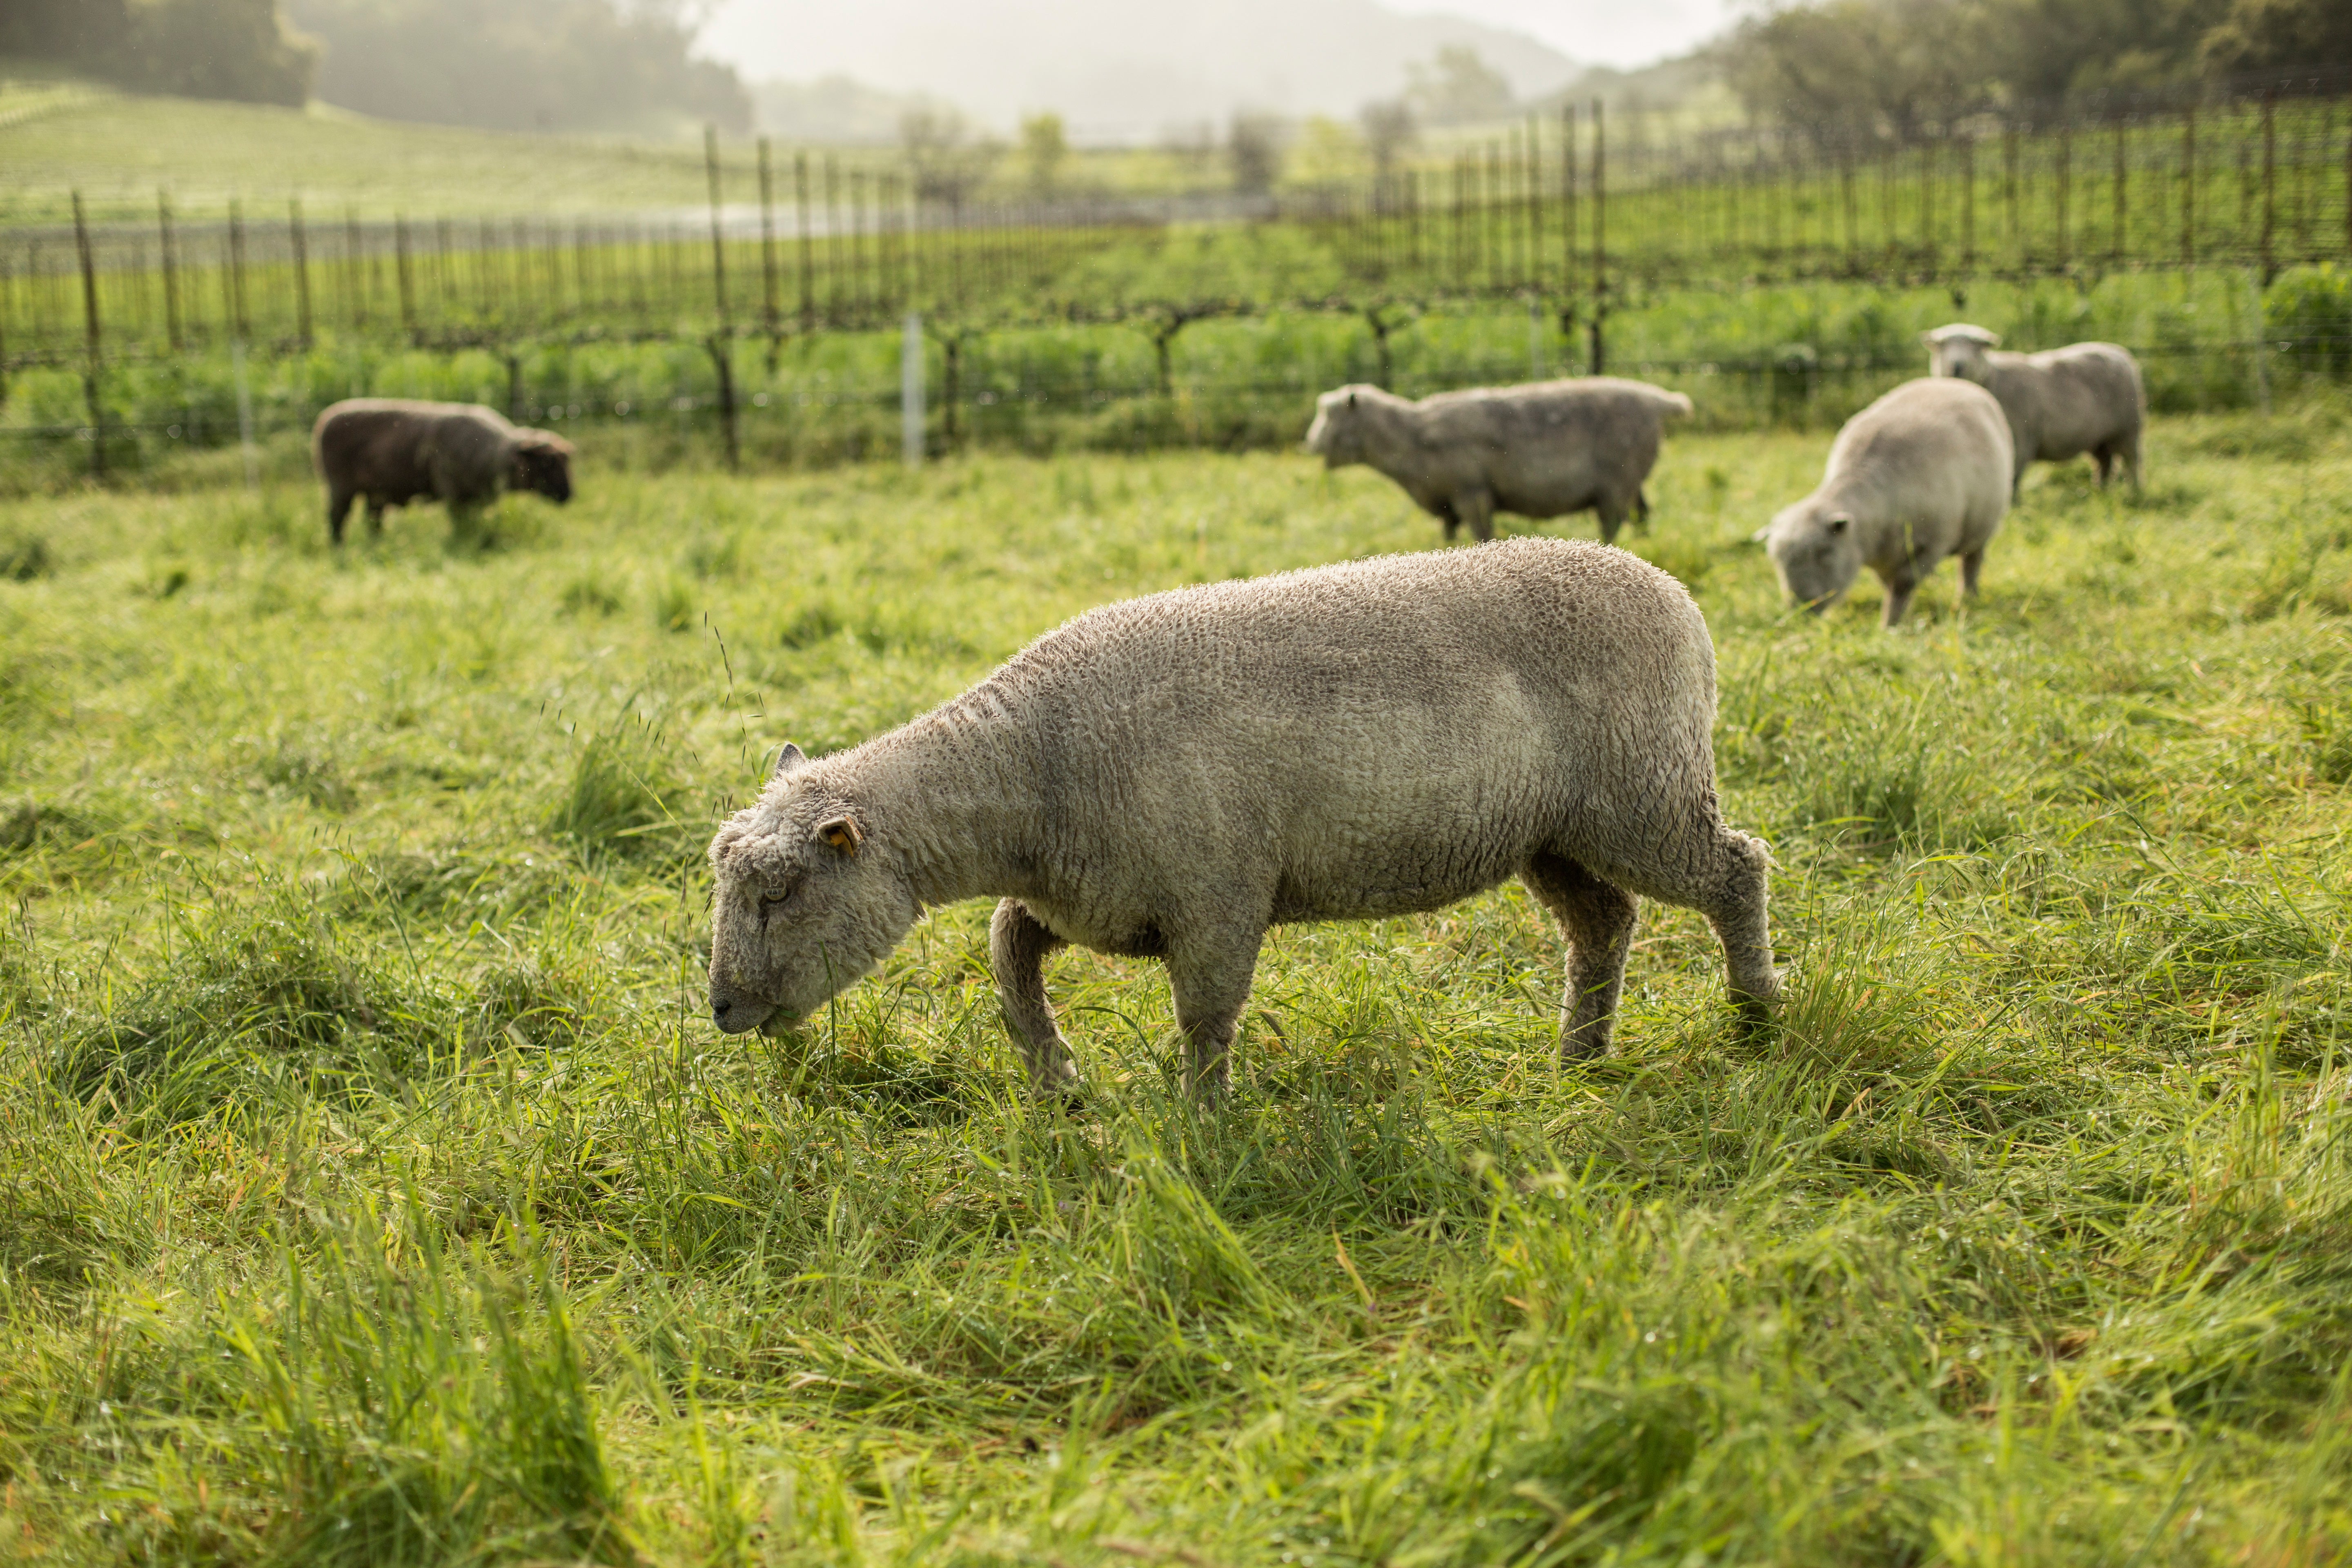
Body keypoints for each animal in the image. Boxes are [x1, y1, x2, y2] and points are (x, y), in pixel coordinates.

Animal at [311, 399, 574, 544]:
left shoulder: (473, 497)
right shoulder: (452, 491)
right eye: (547, 463)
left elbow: (472, 522)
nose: (568, 495)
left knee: (373, 521)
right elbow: (460, 523)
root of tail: (324, 420)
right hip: (340, 487)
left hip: (375, 493)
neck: (494, 453)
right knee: (337, 519)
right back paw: (339, 549)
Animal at [705, 538, 1779, 1102]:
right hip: (1552, 832)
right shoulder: (1092, 897)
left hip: (1642, 794)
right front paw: (1057, 1079)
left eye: (778, 892)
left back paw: (1756, 1016)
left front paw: (1203, 1121)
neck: (1033, 766)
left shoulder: (1216, 897)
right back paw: (1577, 1060)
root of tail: (1671, 589)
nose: (718, 1008)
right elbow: (1006, 952)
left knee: (1737, 869)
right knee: (1603, 924)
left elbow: (1204, 1017)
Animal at [1303, 377, 1694, 545]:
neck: (1412, 438)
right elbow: (1448, 535)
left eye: (1331, 415)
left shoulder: (1471, 493)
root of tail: (1658, 400)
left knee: (1613, 522)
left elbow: (1482, 533)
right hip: (1633, 479)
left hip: (1617, 483)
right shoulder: (1447, 504)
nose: (1308, 444)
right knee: (1643, 515)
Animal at [1761, 377, 2013, 628]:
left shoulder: (1930, 544)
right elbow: (1889, 585)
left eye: (1825, 551)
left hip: (1982, 528)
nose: (1801, 610)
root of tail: (1950, 381)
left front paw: (1890, 625)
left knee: (1971, 563)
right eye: (1776, 559)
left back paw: (1967, 598)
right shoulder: (1884, 557)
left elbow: (1901, 586)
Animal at [1922, 325, 2145, 495]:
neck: (1994, 379)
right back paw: (2101, 491)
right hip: (2100, 437)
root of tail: (2121, 354)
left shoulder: (2020, 438)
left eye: (1976, 347)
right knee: (2105, 463)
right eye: (1942, 346)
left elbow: (2013, 476)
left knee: (2132, 462)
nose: (1957, 365)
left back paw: (2134, 493)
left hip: (2128, 429)